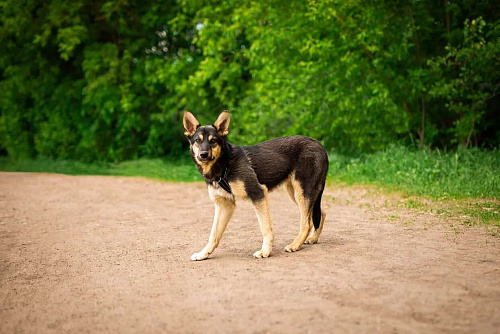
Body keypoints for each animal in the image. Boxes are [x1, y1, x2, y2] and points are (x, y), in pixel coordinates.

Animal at [183, 111, 328, 260]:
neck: (225, 165)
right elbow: (214, 234)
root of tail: (319, 144)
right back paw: (312, 238)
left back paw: (295, 245)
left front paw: (265, 251)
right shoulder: (224, 205)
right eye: (198, 140)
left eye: (213, 141)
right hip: (296, 194)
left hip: (302, 192)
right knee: (320, 213)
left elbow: (265, 227)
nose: (203, 154)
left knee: (307, 223)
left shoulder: (258, 194)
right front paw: (203, 254)